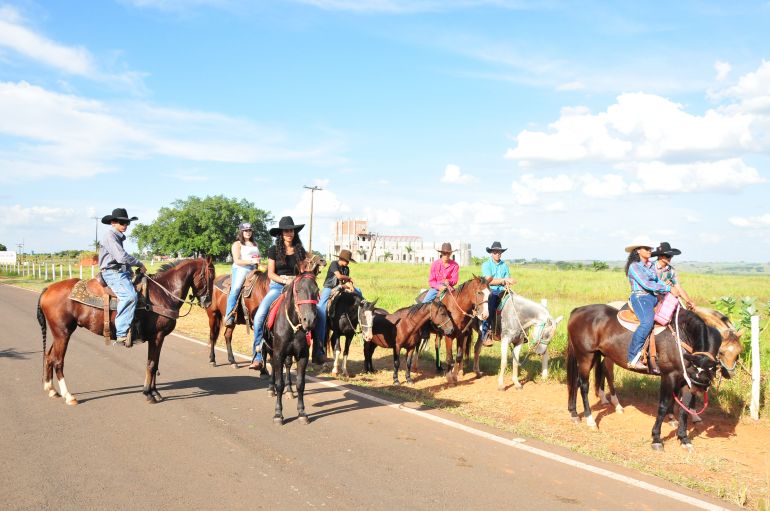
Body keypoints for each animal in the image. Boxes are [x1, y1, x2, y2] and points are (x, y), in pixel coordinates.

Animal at [37, 258, 213, 406]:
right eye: (210, 276)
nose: (208, 302)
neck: (163, 293)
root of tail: (48, 289)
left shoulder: (158, 338)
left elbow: (155, 364)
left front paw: (155, 392)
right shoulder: (157, 337)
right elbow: (151, 364)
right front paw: (148, 393)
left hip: (59, 333)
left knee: (49, 356)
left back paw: (52, 390)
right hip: (63, 332)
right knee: (58, 361)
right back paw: (68, 396)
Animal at [260, 262, 316, 426]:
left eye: (317, 291)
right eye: (298, 290)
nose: (309, 321)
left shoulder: (302, 356)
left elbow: (300, 384)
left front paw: (302, 412)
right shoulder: (278, 353)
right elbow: (279, 384)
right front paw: (278, 414)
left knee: (287, 365)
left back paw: (289, 391)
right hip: (270, 348)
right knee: (272, 365)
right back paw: (270, 388)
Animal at [564, 304, 720, 452]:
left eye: (708, 375)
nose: (698, 391)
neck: (681, 336)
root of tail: (578, 310)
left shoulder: (685, 381)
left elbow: (684, 410)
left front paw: (684, 439)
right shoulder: (668, 376)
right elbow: (663, 406)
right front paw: (656, 439)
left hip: (594, 355)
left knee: (576, 382)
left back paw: (574, 413)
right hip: (586, 356)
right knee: (584, 386)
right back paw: (590, 420)